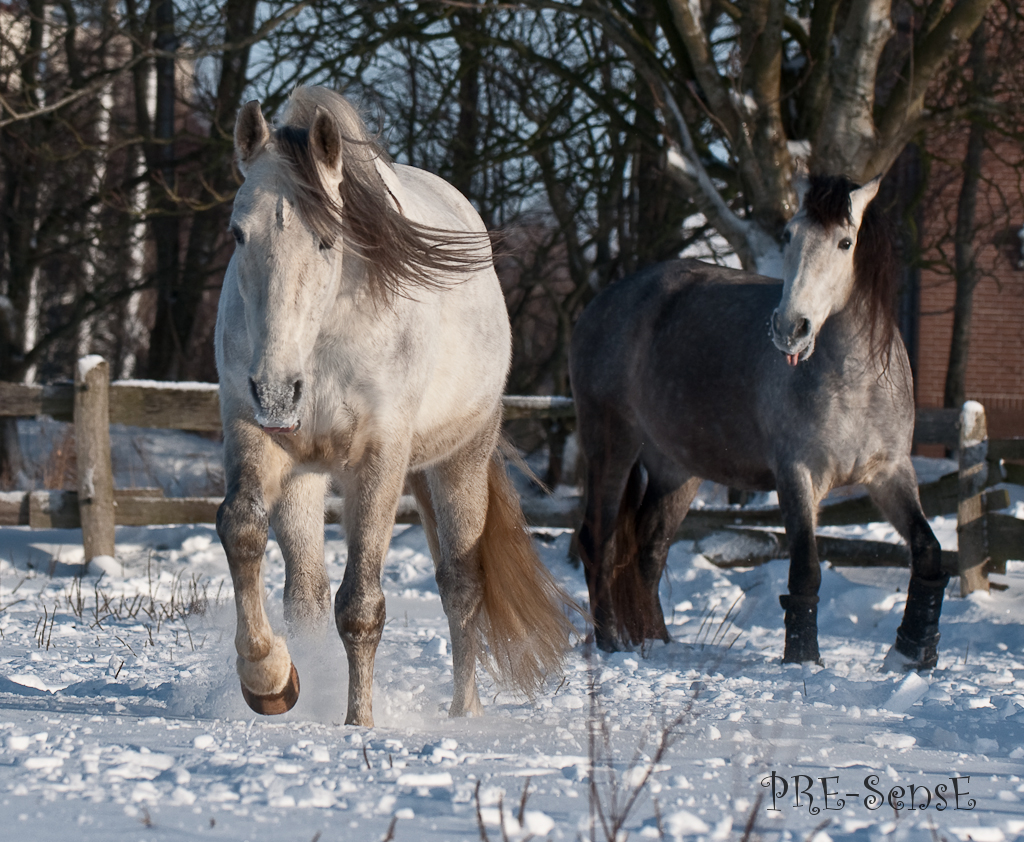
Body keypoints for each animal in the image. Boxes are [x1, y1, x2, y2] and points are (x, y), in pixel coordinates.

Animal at [214, 87, 577, 733]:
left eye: (328, 240)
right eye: (238, 235)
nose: (278, 392)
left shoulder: (378, 463)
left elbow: (362, 605)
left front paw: (359, 722)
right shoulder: (253, 434)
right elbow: (242, 531)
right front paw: (270, 678)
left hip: (456, 464)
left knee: (460, 585)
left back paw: (464, 711)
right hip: (307, 478)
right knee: (306, 594)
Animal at [573, 175, 946, 667]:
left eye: (845, 242)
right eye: (788, 235)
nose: (791, 328)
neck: (855, 381)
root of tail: (601, 304)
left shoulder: (890, 473)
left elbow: (927, 551)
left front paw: (911, 653)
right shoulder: (797, 475)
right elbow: (805, 571)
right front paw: (804, 660)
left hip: (677, 470)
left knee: (648, 553)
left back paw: (657, 643)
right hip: (611, 444)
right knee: (598, 542)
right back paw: (612, 644)